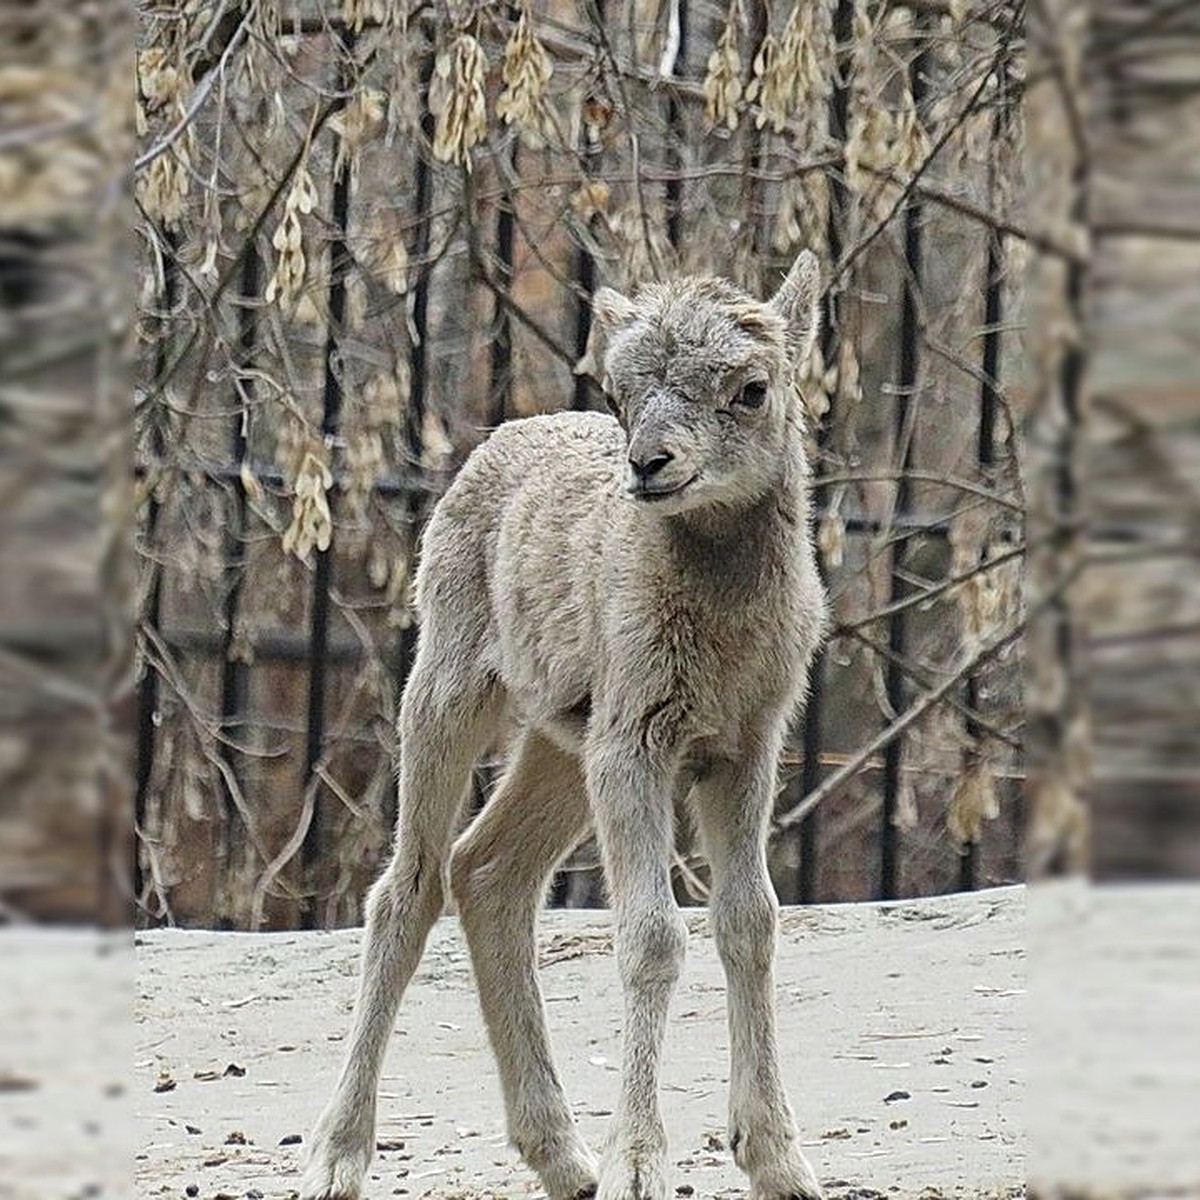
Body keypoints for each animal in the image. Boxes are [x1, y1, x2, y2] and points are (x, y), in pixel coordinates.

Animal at [302, 250, 825, 1200]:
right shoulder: (635, 746)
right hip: (446, 695)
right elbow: (652, 937)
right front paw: (640, 1166)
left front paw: (777, 1160)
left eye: (751, 388)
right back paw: (337, 1156)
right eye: (622, 392)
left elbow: (751, 921)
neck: (722, 622)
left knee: (489, 873)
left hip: (558, 748)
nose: (650, 463)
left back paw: (563, 1156)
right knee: (407, 889)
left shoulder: (745, 747)